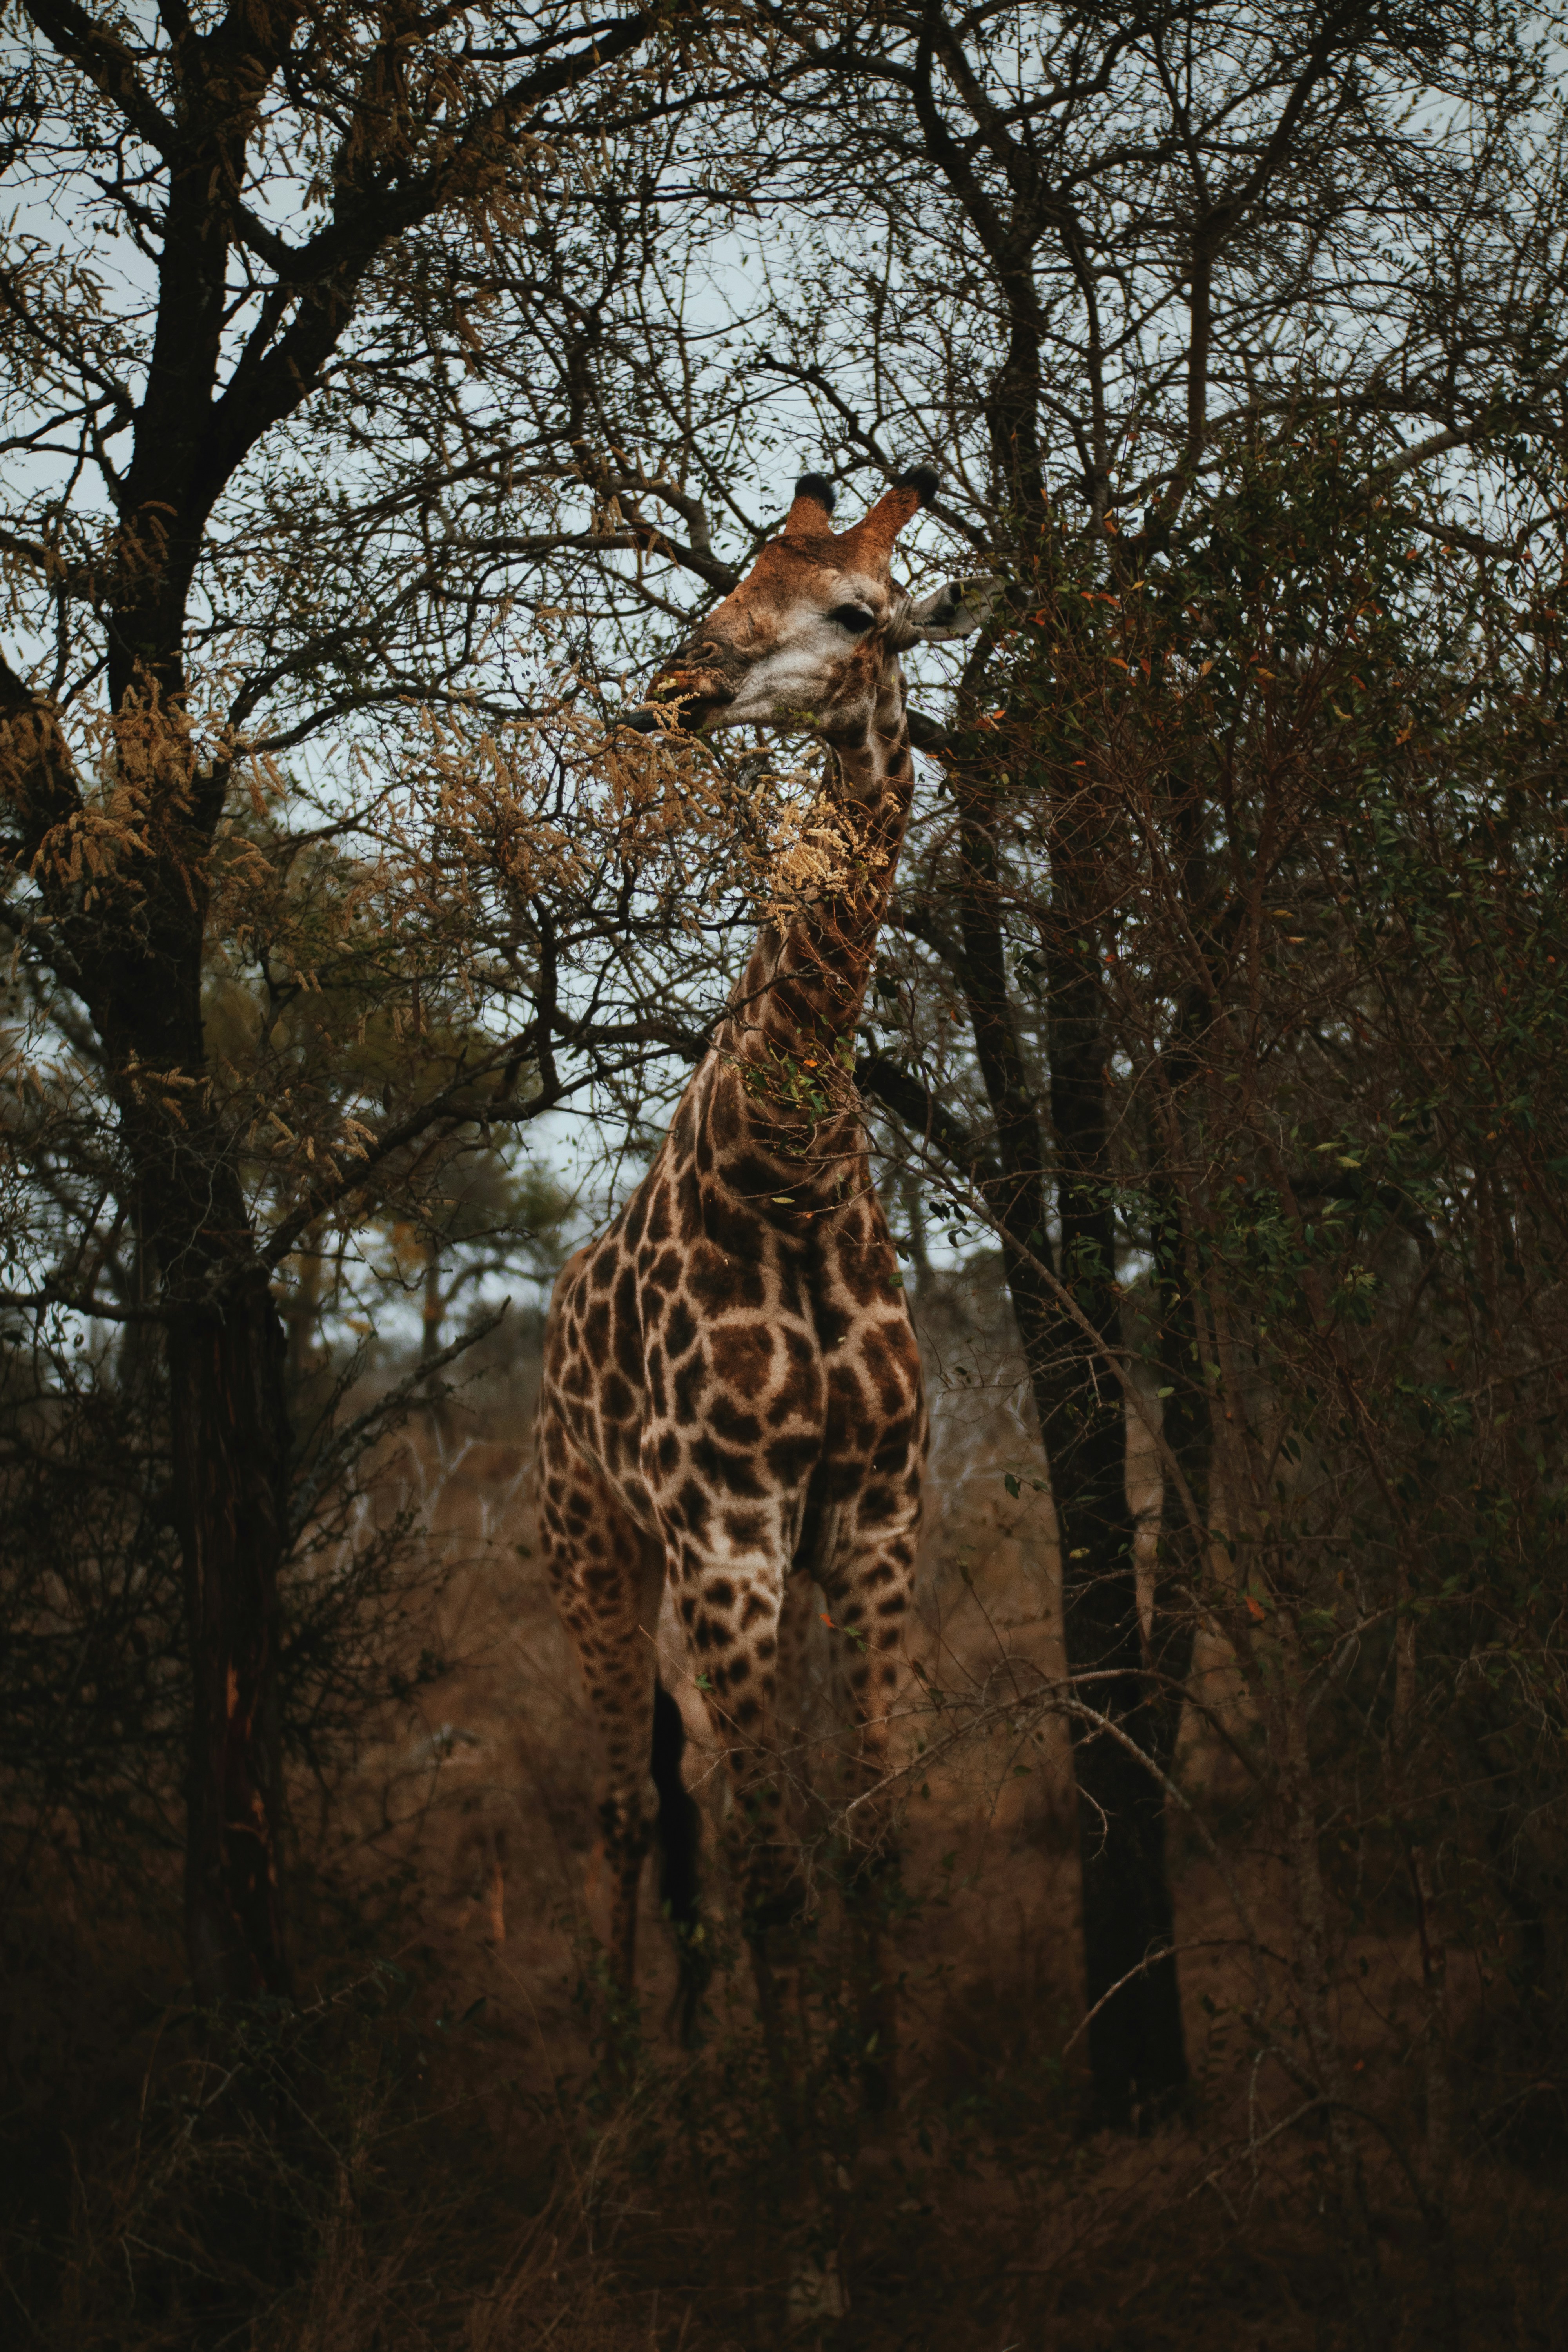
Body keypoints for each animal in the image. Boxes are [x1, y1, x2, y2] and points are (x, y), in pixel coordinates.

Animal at [533, 466, 991, 2059]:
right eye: (739, 570)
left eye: (855, 611)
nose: (679, 683)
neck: (787, 1171)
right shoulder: (726, 1533)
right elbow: (779, 1878)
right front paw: (803, 2121)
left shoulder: (869, 1520)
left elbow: (865, 1844)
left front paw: (872, 2091)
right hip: (594, 1550)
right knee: (623, 1804)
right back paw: (627, 2069)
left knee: (698, 1808)